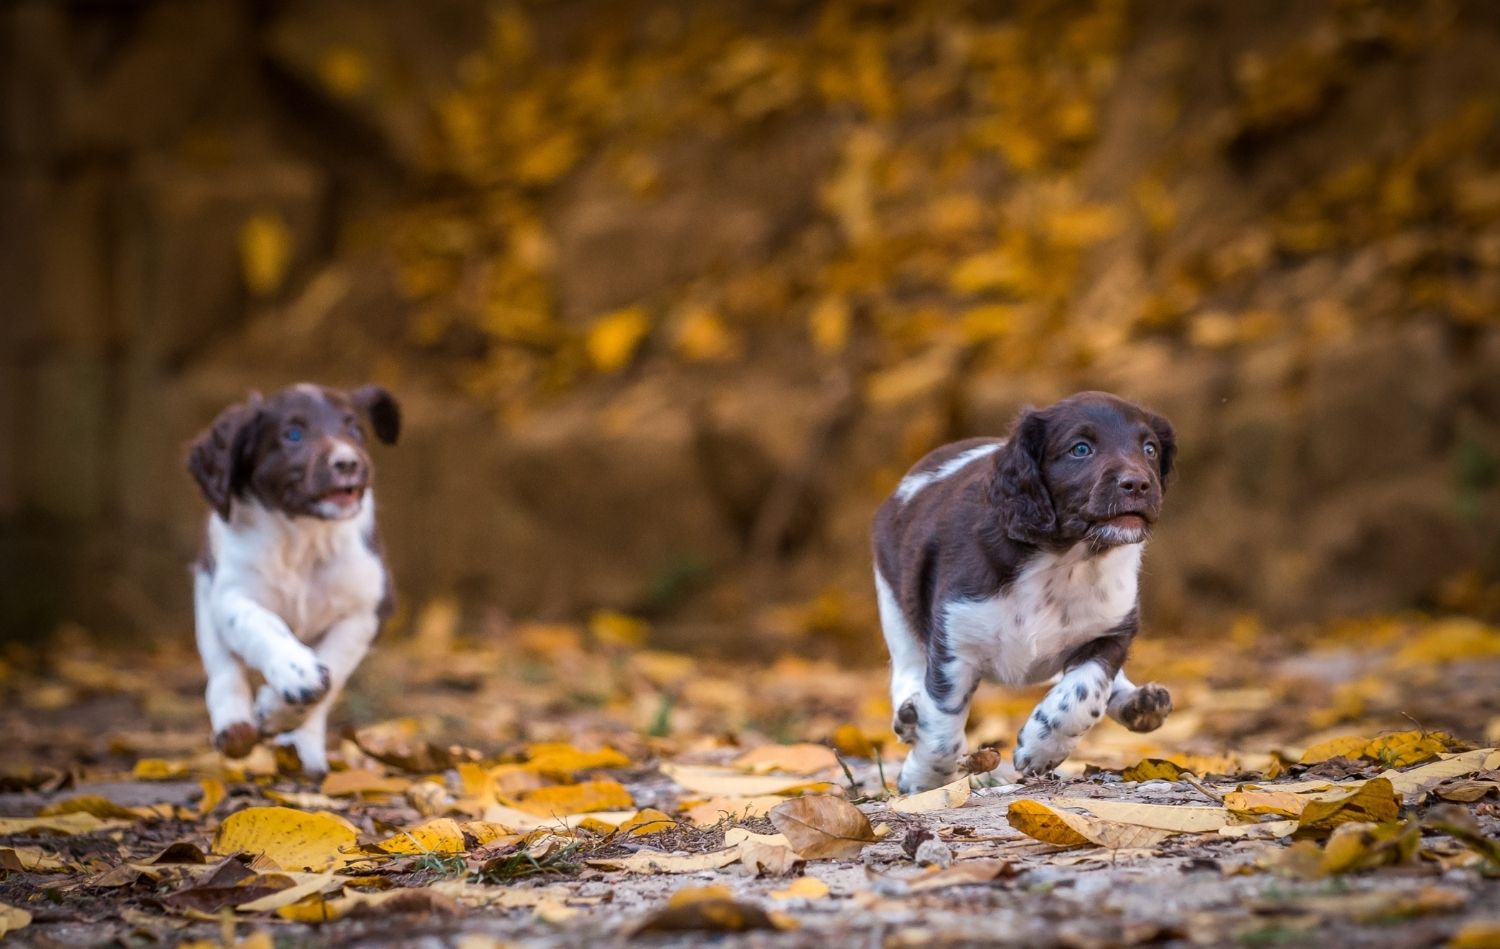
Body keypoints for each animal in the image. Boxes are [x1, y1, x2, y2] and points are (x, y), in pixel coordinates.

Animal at [185, 380, 399, 773]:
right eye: (293, 435)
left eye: (355, 430)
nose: (348, 462)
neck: (304, 536)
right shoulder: (229, 594)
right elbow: (259, 624)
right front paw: (295, 670)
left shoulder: (367, 610)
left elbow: (334, 666)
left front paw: (279, 711)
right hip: (205, 590)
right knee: (222, 665)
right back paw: (234, 726)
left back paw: (301, 749)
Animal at [876, 389, 1176, 785]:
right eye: (1080, 449)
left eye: (1150, 449)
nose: (1139, 484)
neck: (1066, 559)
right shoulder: (956, 639)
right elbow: (942, 728)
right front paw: (922, 780)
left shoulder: (1113, 629)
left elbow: (1084, 693)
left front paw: (1041, 747)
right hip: (894, 603)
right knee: (907, 667)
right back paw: (910, 714)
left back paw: (1140, 703)